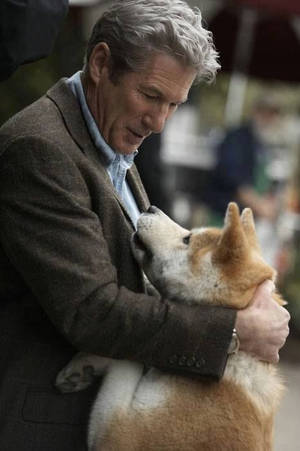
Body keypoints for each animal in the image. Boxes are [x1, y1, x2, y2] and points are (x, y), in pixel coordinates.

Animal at [56, 203, 286, 450]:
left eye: (187, 239)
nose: (151, 207)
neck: (236, 357)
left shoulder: (120, 436)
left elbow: (130, 360)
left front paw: (86, 364)